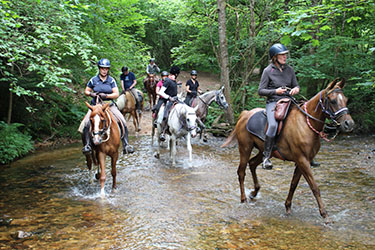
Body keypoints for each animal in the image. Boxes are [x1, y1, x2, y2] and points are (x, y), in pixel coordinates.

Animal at [222, 78, 356, 223]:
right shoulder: (302, 161)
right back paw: (244, 199)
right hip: (245, 148)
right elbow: (314, 187)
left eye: (346, 100)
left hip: (264, 151)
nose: (349, 124)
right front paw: (324, 214)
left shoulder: (302, 162)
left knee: (252, 164)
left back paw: (254, 192)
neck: (306, 124)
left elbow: (293, 184)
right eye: (332, 101)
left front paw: (287, 207)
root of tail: (245, 113)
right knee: (241, 172)